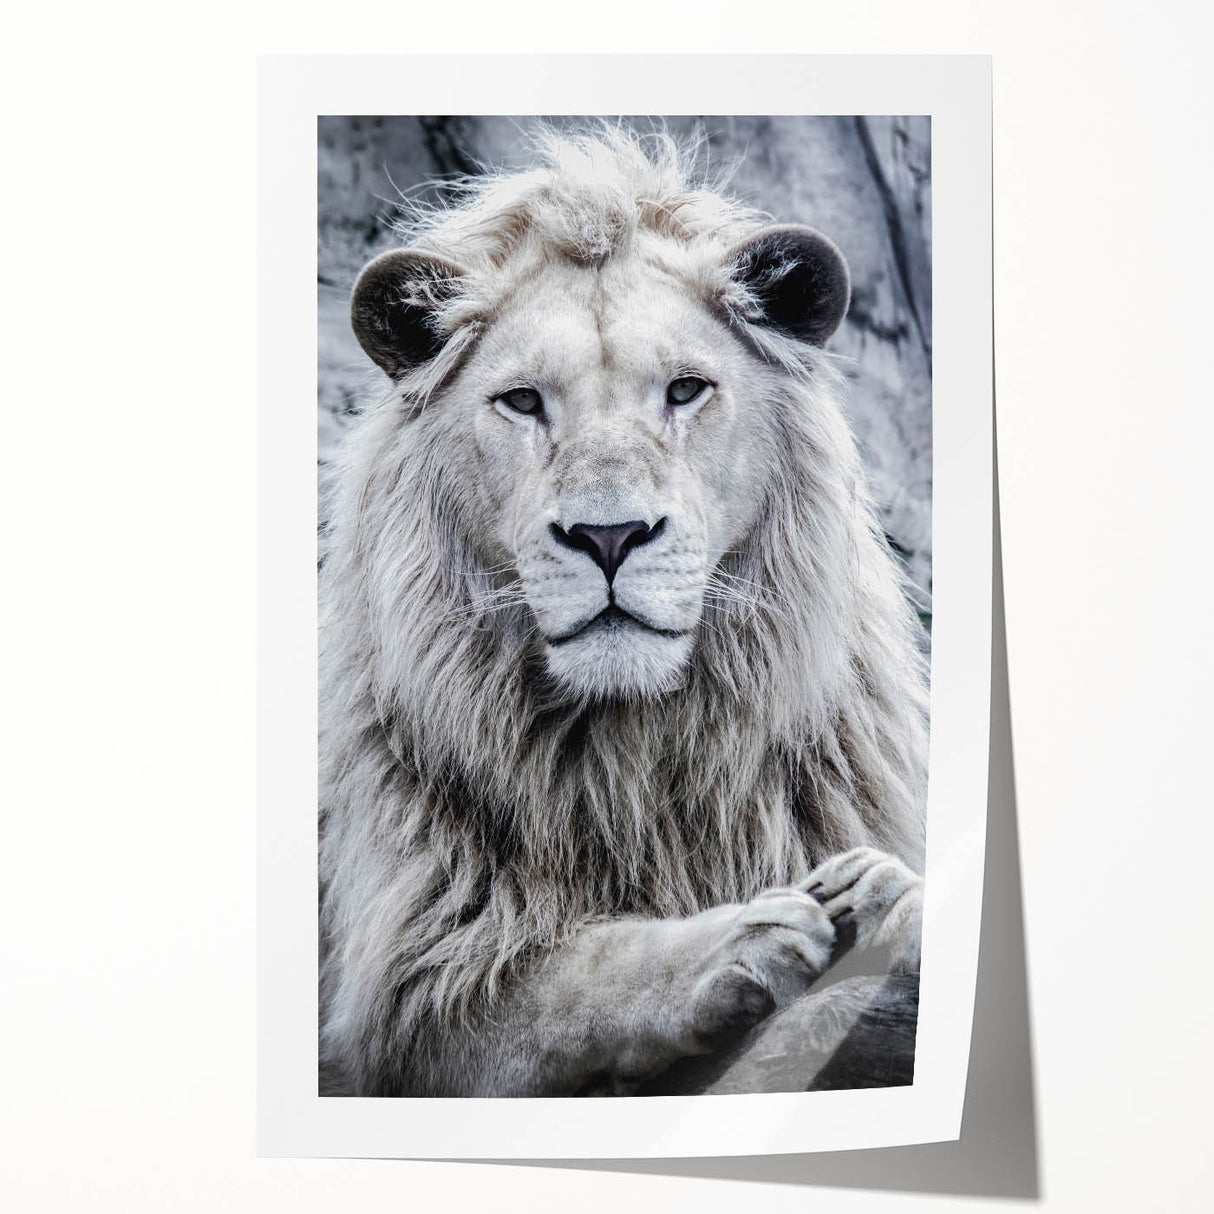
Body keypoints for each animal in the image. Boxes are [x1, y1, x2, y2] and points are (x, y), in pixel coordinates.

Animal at [319, 128, 929, 1097]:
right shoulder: (418, 988)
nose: (609, 537)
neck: (633, 757)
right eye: (523, 400)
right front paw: (747, 938)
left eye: (684, 391)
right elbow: (577, 975)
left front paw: (886, 896)